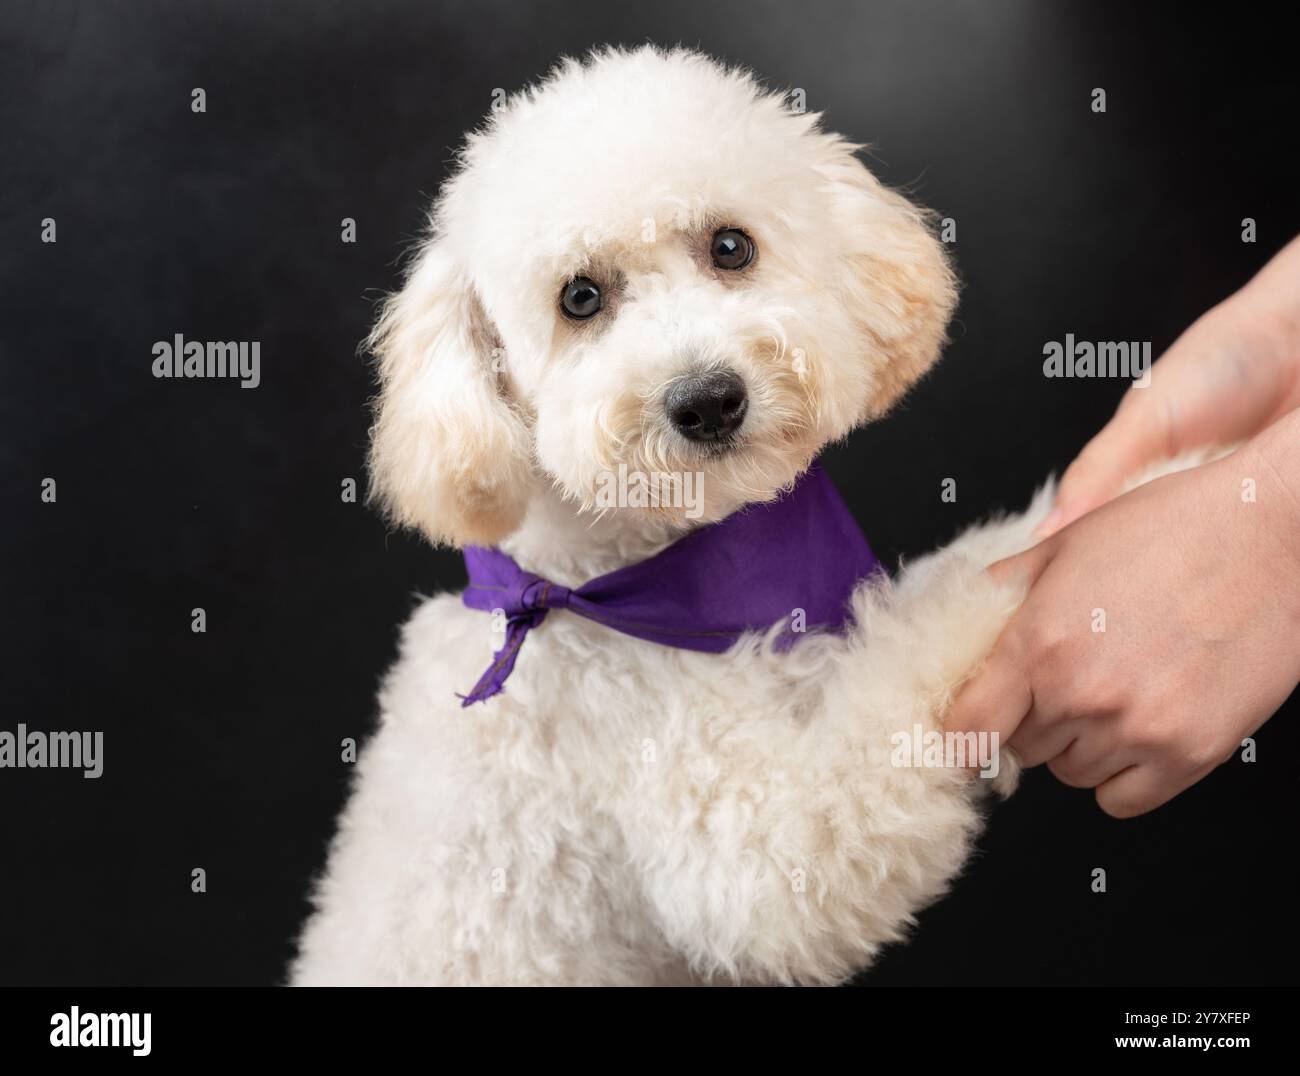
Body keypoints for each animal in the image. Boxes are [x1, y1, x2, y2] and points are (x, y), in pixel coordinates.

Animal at [292, 44, 1170, 982]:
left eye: (730, 246)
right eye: (579, 298)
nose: (708, 399)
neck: (626, 587)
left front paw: (1149, 485)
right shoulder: (746, 835)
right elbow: (910, 663)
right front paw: (1009, 595)